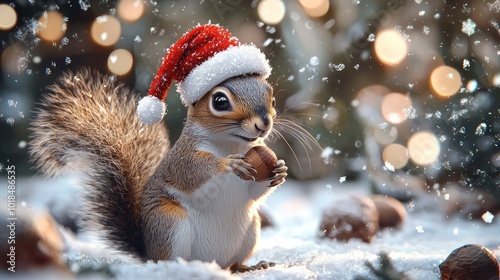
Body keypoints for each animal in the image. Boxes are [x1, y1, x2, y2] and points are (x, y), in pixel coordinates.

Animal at [29, 23, 288, 272]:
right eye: (220, 101)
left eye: (272, 98)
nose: (264, 123)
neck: (231, 143)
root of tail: (148, 252)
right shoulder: (181, 158)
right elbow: (192, 171)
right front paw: (227, 163)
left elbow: (254, 192)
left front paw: (279, 171)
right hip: (170, 223)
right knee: (168, 259)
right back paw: (184, 267)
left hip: (250, 230)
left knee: (234, 264)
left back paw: (249, 266)